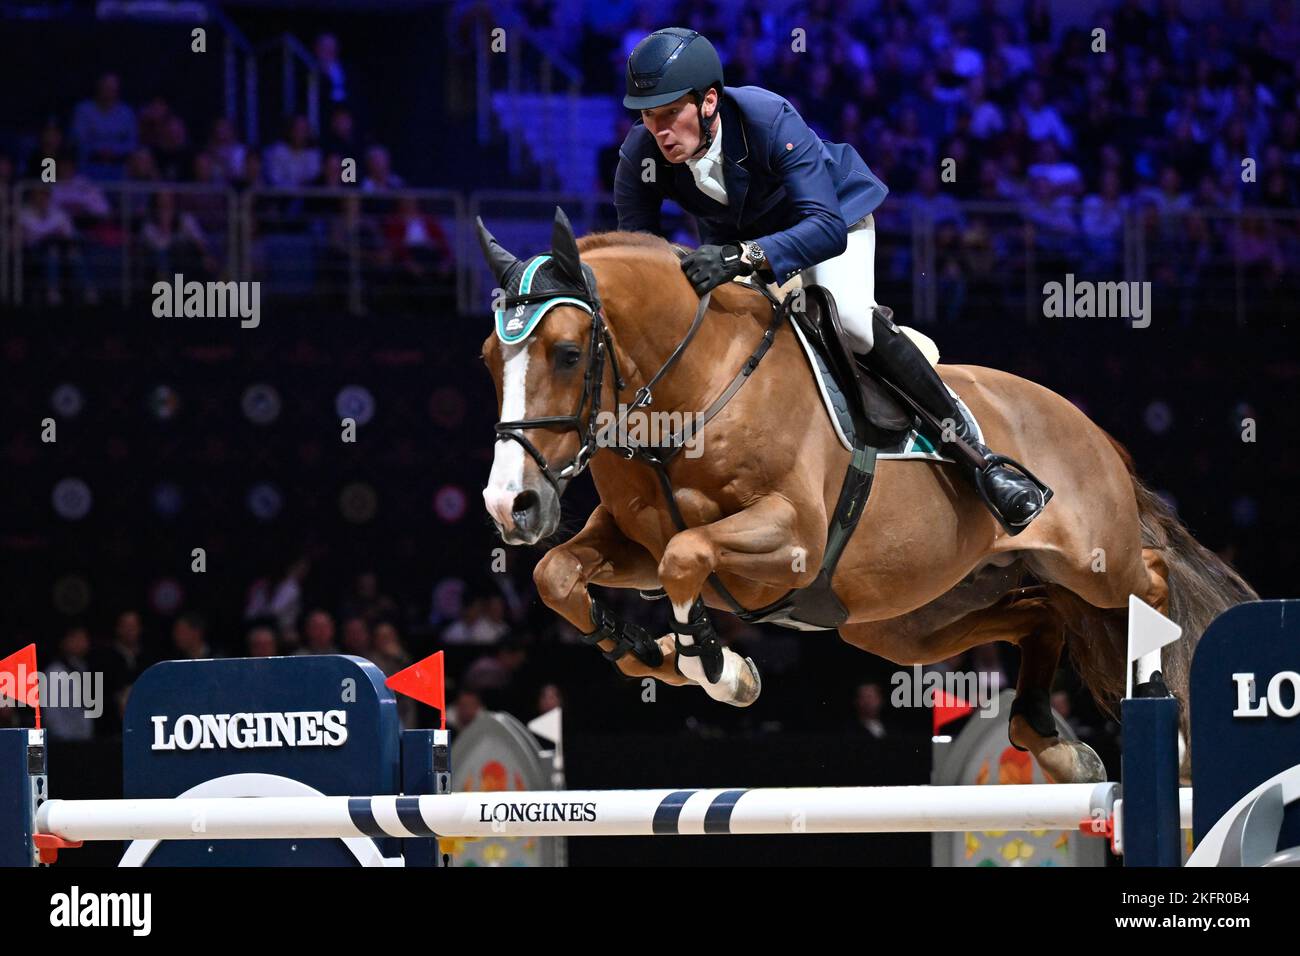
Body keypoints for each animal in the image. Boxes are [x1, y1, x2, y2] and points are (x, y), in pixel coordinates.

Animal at [477, 208, 1256, 784]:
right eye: (489, 360)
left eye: (567, 354)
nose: (510, 506)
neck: (695, 387)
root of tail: (1085, 423)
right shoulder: (632, 539)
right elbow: (560, 573)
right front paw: (648, 652)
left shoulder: (791, 535)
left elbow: (685, 557)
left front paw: (717, 668)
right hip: (905, 618)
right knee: (1039, 613)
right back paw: (1053, 741)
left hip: (1090, 556)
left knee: (1150, 577)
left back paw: (1161, 711)